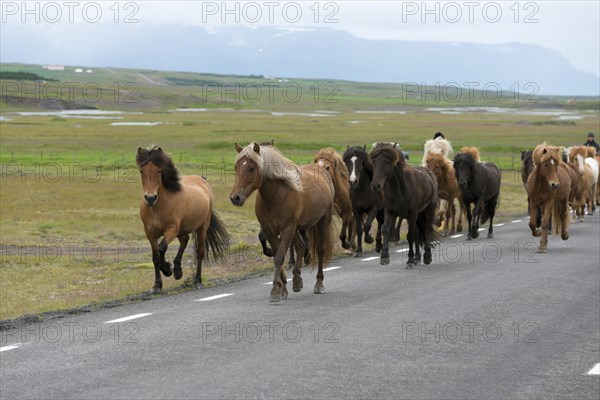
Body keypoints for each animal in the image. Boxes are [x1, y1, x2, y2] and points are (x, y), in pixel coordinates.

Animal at [137, 145, 229, 292]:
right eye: (141, 171)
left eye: (159, 171)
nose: (150, 198)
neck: (157, 208)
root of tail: (202, 179)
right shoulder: (150, 233)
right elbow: (155, 257)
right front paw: (157, 284)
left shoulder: (172, 229)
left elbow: (161, 248)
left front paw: (167, 269)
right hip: (183, 228)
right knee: (184, 240)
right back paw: (178, 270)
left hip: (202, 226)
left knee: (200, 251)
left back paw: (197, 279)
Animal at [229, 142, 336, 302]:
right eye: (236, 167)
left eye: (251, 168)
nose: (235, 198)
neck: (276, 195)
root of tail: (322, 169)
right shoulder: (270, 231)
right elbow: (277, 255)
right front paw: (283, 288)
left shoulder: (287, 229)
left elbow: (279, 257)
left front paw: (275, 290)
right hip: (296, 228)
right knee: (300, 247)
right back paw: (297, 281)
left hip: (321, 222)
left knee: (320, 250)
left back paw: (319, 284)